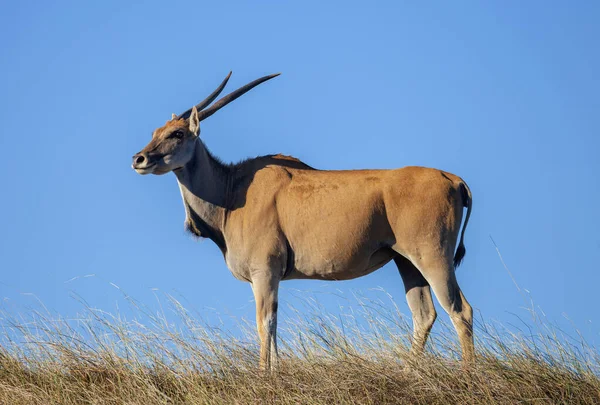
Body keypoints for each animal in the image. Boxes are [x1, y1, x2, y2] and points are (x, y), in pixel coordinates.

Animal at [131, 72, 474, 370]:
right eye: (154, 133)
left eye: (177, 133)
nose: (139, 159)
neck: (232, 193)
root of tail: (454, 179)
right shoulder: (269, 277)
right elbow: (272, 325)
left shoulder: (264, 272)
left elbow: (265, 323)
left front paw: (265, 375)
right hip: (406, 262)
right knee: (424, 315)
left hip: (432, 257)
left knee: (460, 310)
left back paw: (467, 374)